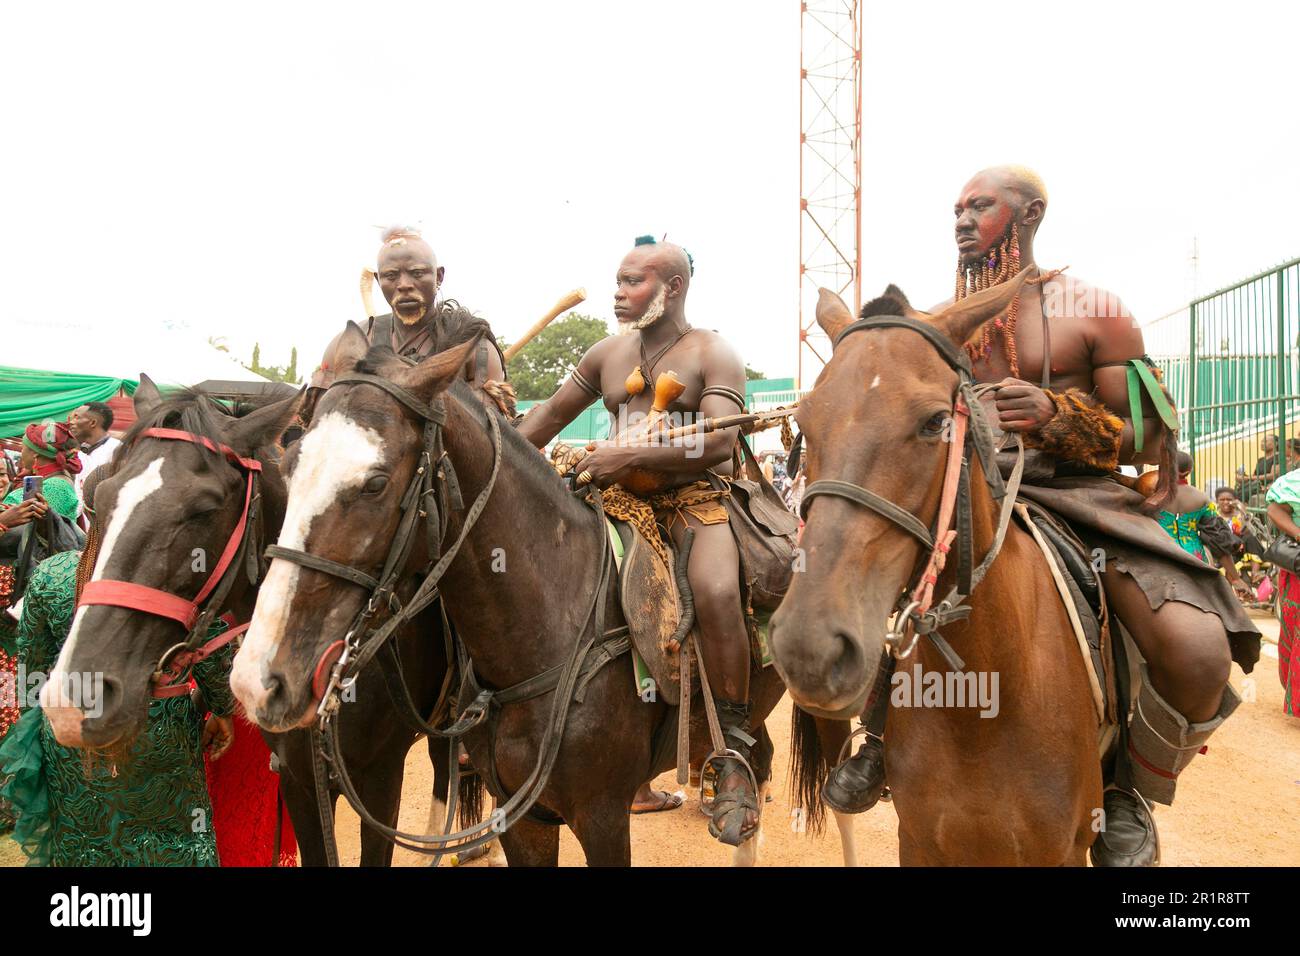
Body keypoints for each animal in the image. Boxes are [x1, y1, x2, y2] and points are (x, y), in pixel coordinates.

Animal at [235, 327, 857, 868]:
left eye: (375, 482)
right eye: (287, 467)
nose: (258, 677)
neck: (545, 632)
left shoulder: (602, 816)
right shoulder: (523, 819)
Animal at [764, 274, 1102, 868]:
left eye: (936, 422)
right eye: (804, 423)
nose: (809, 647)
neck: (982, 704)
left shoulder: (1062, 851)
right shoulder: (919, 840)